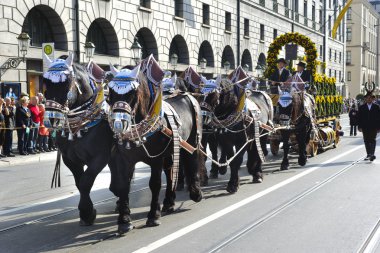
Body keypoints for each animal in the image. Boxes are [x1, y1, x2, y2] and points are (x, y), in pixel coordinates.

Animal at [43, 53, 113, 225]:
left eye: (67, 82)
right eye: (45, 82)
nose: (51, 119)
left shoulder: (99, 157)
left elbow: (86, 182)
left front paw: (87, 212)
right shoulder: (70, 159)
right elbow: (79, 183)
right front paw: (86, 212)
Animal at [105, 55, 203, 233]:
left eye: (133, 93)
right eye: (110, 94)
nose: (118, 125)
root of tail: (187, 94)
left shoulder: (156, 159)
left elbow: (155, 184)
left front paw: (153, 215)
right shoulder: (124, 160)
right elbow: (123, 185)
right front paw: (124, 219)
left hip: (192, 140)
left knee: (191, 161)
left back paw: (195, 192)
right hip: (172, 150)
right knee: (171, 171)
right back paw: (169, 202)